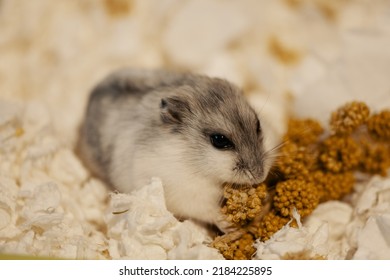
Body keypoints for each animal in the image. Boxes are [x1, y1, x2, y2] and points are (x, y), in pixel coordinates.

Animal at [78, 69, 274, 233]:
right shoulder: (187, 193)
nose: (259, 176)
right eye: (219, 140)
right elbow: (208, 210)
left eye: (258, 125)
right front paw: (229, 225)